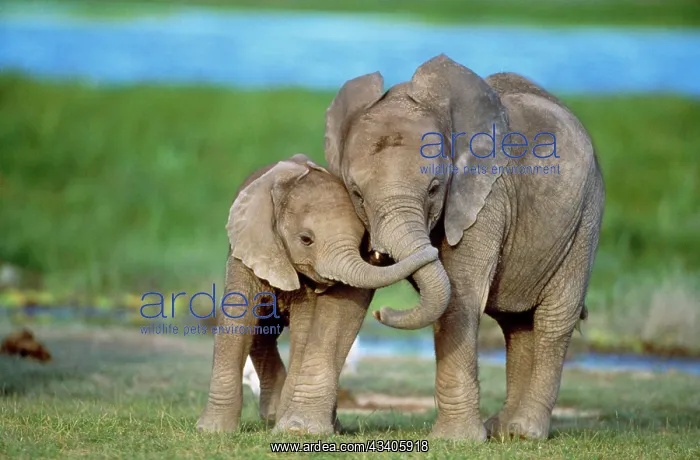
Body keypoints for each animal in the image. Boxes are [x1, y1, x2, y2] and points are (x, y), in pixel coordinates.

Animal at [195, 154, 438, 435]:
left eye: (361, 239)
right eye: (306, 239)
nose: (381, 312)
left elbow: (304, 330)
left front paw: (290, 427)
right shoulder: (248, 251)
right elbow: (238, 321)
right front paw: (211, 430)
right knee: (261, 331)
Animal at [323, 54, 605, 441]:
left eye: (434, 188)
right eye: (356, 194)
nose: (382, 313)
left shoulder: (486, 197)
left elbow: (459, 295)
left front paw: (455, 440)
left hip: (585, 217)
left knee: (554, 319)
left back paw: (524, 432)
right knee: (518, 324)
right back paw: (503, 430)